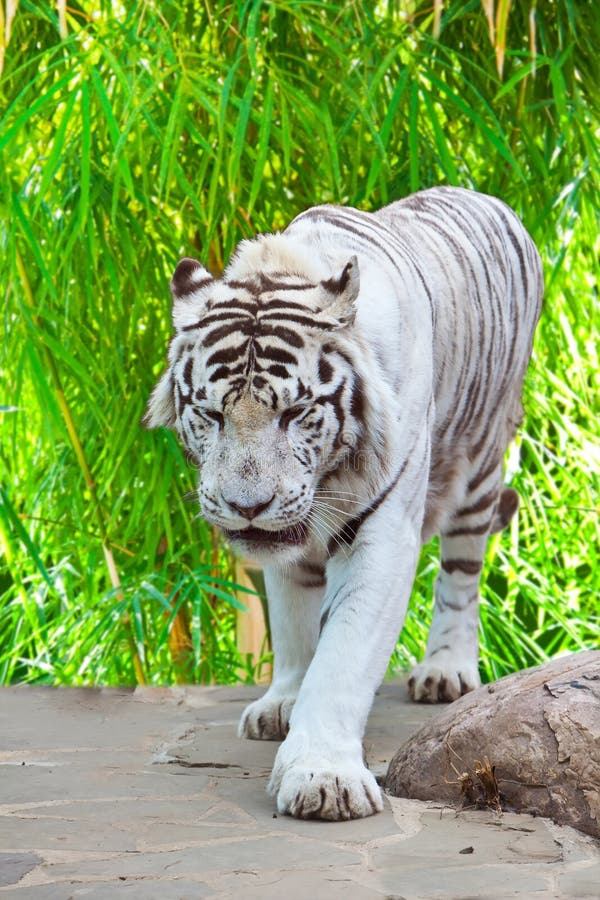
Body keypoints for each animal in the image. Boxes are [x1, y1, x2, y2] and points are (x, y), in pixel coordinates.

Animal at [145, 188, 544, 824]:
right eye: (210, 414)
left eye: (294, 412)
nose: (246, 505)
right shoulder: (287, 544)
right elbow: (293, 623)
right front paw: (282, 701)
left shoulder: (382, 534)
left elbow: (344, 655)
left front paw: (323, 776)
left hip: (480, 462)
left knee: (462, 574)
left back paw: (445, 669)